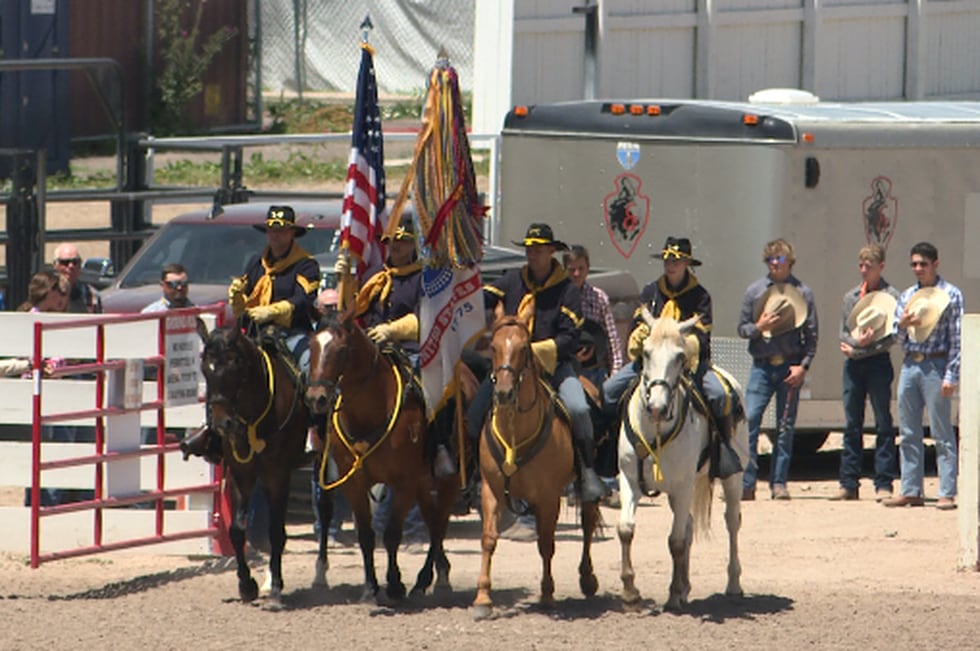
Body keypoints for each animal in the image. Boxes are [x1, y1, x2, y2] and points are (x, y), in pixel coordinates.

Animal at [201, 328, 328, 608]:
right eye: (205, 367)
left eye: (234, 364)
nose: (222, 423)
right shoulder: (241, 474)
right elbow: (238, 530)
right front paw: (247, 585)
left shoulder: (278, 475)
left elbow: (276, 532)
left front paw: (278, 588)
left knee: (326, 513)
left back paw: (320, 574)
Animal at [472, 316, 600, 620]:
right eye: (493, 347)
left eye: (524, 348)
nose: (504, 393)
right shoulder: (491, 490)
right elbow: (488, 539)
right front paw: (483, 599)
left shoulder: (549, 498)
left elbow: (546, 544)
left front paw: (547, 594)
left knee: (588, 524)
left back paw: (588, 578)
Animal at [616, 310, 748, 612]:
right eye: (646, 352)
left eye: (679, 356)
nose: (657, 407)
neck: (655, 432)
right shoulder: (629, 481)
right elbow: (626, 529)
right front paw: (630, 592)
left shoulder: (684, 485)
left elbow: (675, 541)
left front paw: (674, 594)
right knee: (687, 525)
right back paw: (687, 586)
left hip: (732, 479)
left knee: (732, 521)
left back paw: (733, 584)